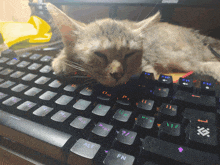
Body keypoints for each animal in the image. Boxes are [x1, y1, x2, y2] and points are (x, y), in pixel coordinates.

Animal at [45, 2, 220, 87]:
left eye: (129, 54)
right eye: (99, 54)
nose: (117, 74)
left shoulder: (147, 65)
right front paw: (63, 60)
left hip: (178, 57)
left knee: (205, 63)